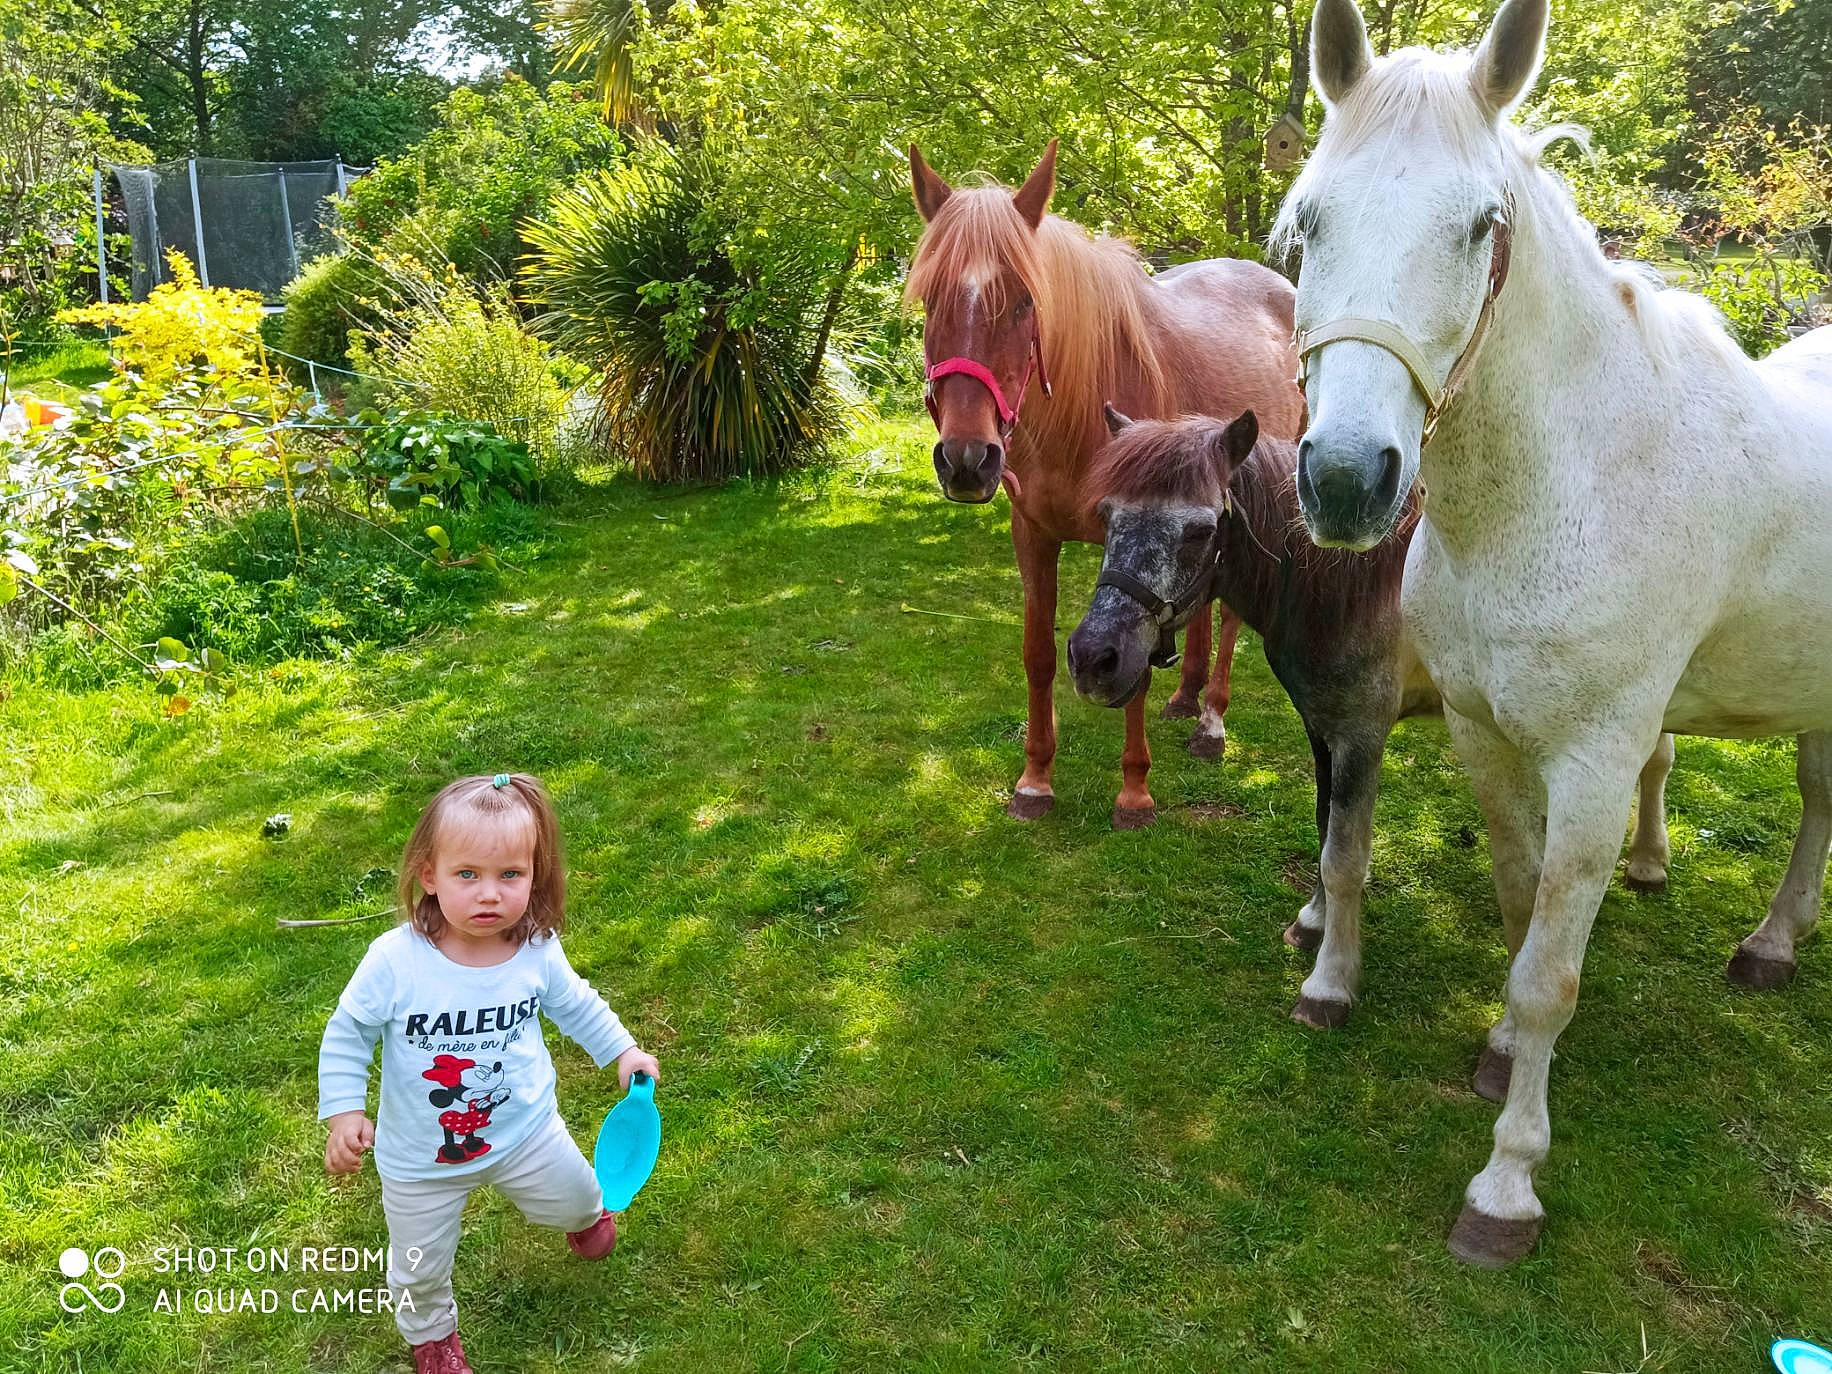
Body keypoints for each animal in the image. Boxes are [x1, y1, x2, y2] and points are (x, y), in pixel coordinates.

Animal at [905, 141, 1306, 827]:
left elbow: (1135, 668)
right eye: (931, 299)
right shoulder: (1033, 535)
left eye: (1025, 301)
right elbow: (1039, 655)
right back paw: (1187, 695)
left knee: (1228, 615)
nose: (966, 459)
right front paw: (1035, 780)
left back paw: (1210, 721)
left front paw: (1134, 793)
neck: (1079, 413)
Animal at [1066, 406, 1677, 1033]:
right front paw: (1314, 920)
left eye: (1199, 531)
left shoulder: (1361, 736)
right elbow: (1323, 828)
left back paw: (1653, 869)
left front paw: (1329, 984)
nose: (1093, 658)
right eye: (1108, 517)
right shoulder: (1322, 728)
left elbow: (1345, 856)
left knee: (1656, 764)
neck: (1348, 586)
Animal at [1284, 0, 1832, 1266]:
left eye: (1479, 224)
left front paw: (1504, 1187)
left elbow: (1549, 977)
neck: (1563, 479)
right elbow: (1514, 907)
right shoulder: (1484, 738)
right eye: (1308, 218)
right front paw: (1496, 1053)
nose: (1344, 481)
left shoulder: (1588, 762)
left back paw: (1768, 947)